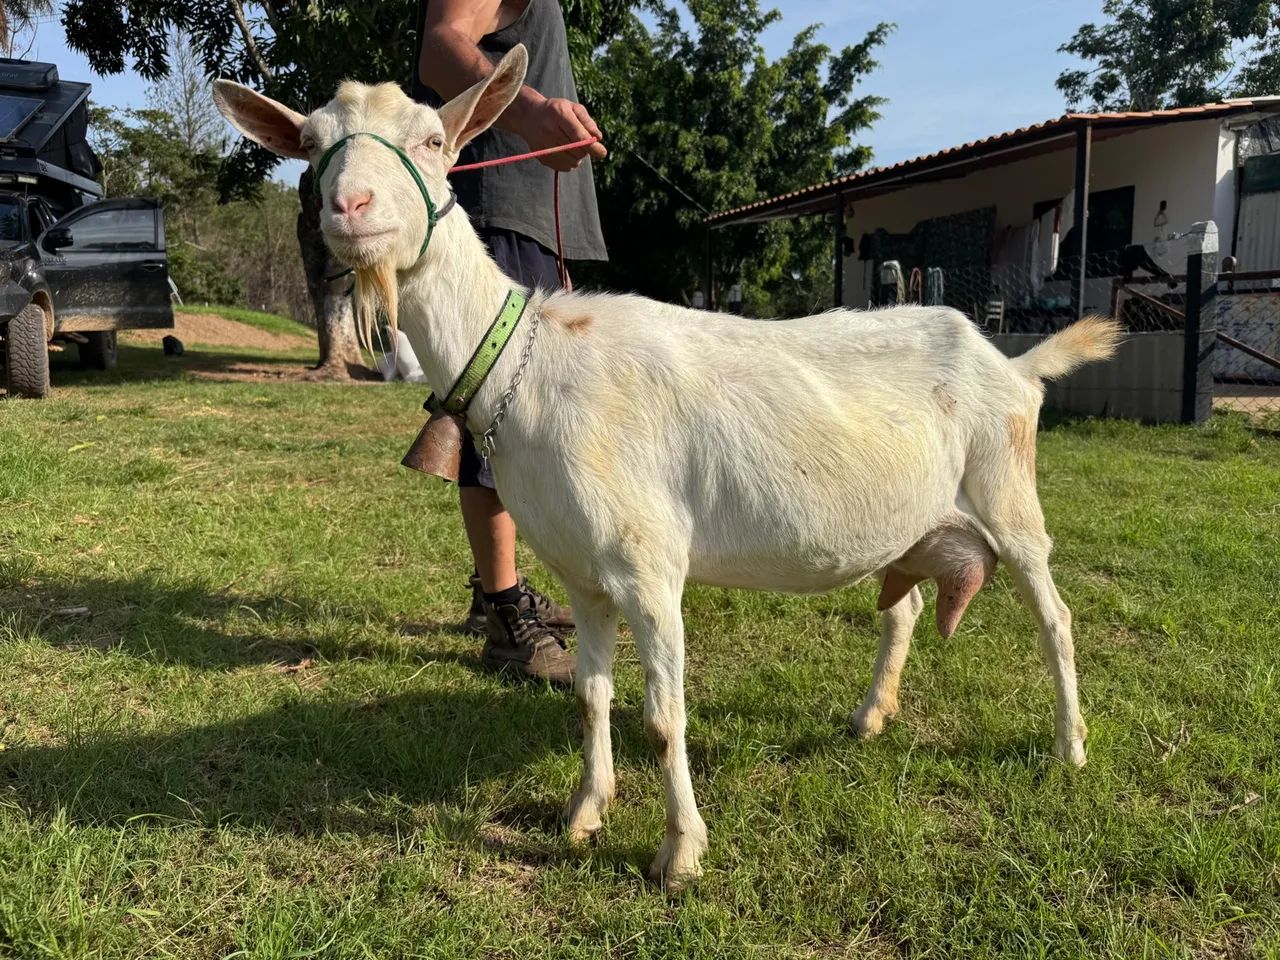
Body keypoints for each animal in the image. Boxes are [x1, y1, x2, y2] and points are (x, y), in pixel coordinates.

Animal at [213, 47, 1122, 890]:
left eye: (436, 140)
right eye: (310, 147)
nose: (350, 208)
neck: (527, 362)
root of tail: (1014, 365)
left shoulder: (648, 563)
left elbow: (662, 718)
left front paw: (679, 853)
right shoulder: (582, 573)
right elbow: (591, 696)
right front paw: (585, 814)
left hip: (1008, 493)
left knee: (1055, 617)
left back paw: (1071, 746)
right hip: (906, 524)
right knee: (902, 610)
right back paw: (870, 718)